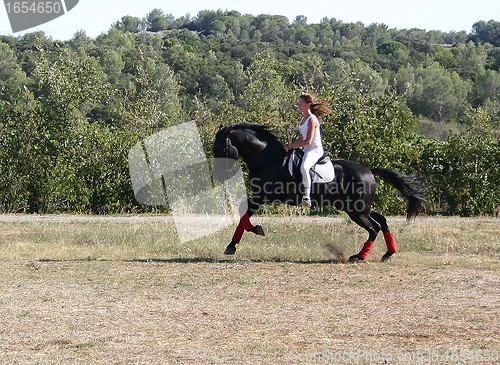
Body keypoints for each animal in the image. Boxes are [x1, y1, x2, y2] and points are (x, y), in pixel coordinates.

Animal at [212, 123, 426, 262]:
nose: (219, 176)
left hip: (356, 211)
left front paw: (243, 238)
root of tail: (369, 171)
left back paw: (359, 257)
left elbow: (244, 213)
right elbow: (243, 213)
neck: (268, 160)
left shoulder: (263, 196)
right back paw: (388, 254)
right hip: (356, 207)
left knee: (374, 228)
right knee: (381, 220)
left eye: (221, 149)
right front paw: (236, 242)